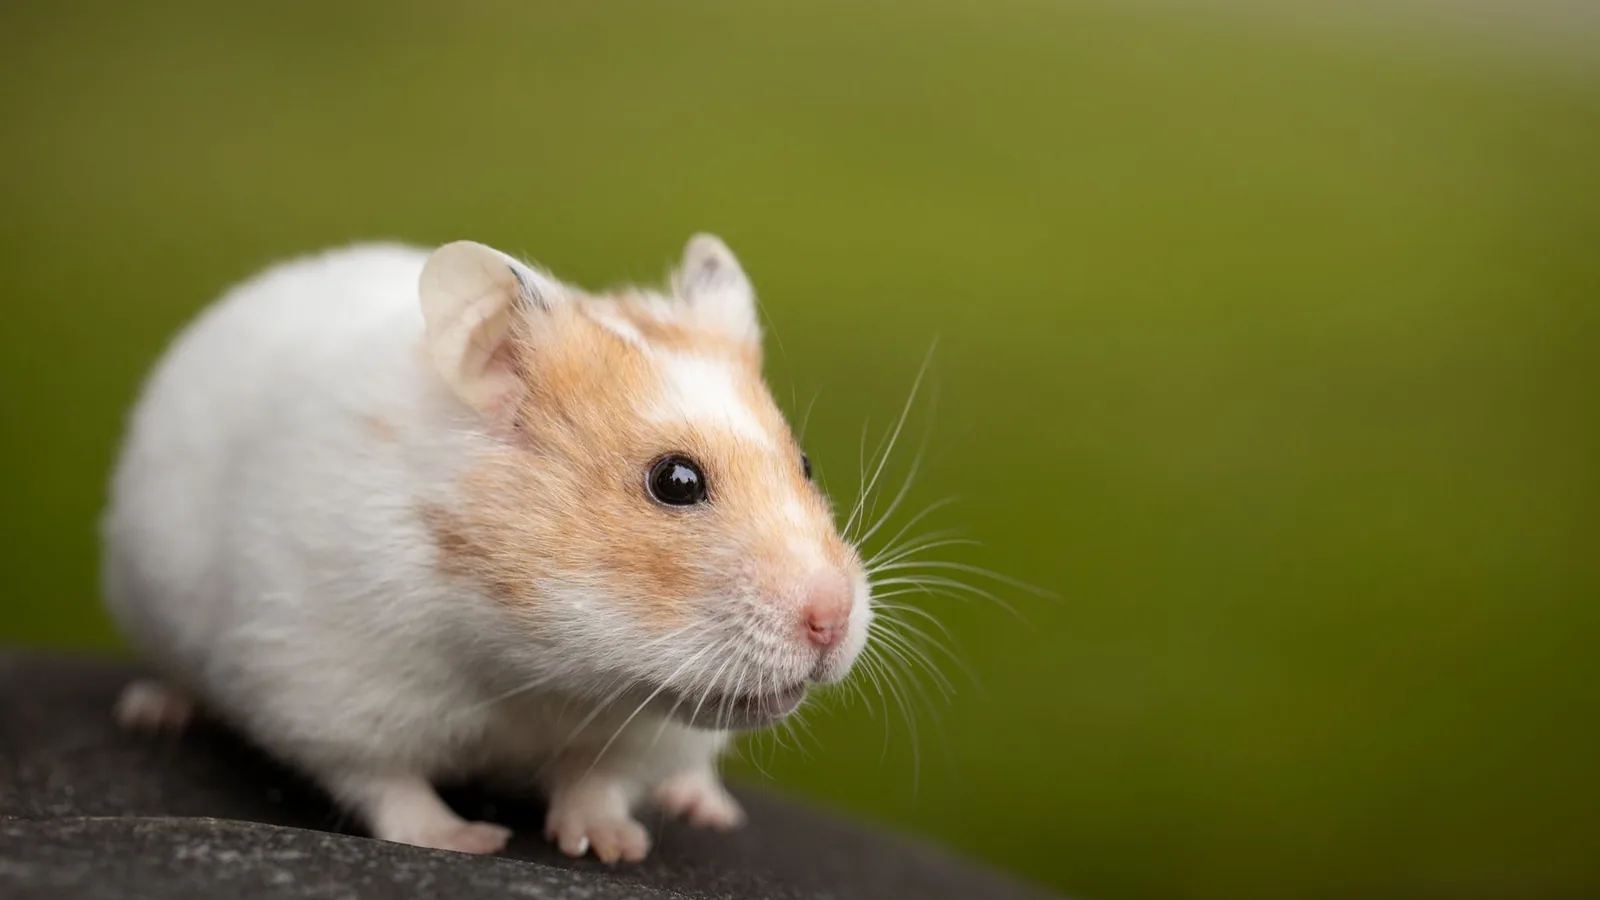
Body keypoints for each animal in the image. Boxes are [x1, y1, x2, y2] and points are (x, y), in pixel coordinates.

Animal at [99, 235, 873, 862]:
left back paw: (704, 806)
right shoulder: (325, 687)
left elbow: (598, 781)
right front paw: (469, 841)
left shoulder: (640, 733)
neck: (538, 669)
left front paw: (614, 847)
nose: (832, 621)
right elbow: (388, 785)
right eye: (675, 481)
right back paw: (153, 711)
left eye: (805, 464)